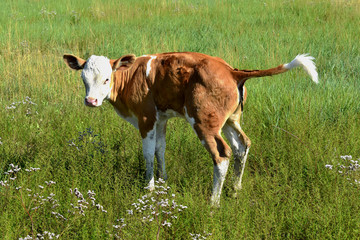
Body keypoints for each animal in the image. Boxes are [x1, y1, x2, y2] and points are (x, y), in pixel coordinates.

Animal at [64, 51, 318, 205]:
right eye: (84, 79)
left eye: (107, 79)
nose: (91, 101)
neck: (131, 78)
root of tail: (230, 70)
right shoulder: (162, 119)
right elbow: (160, 149)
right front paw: (163, 181)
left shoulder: (146, 118)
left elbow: (147, 152)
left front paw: (149, 188)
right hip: (230, 120)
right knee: (242, 146)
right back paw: (235, 189)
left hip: (205, 124)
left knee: (222, 155)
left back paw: (213, 203)